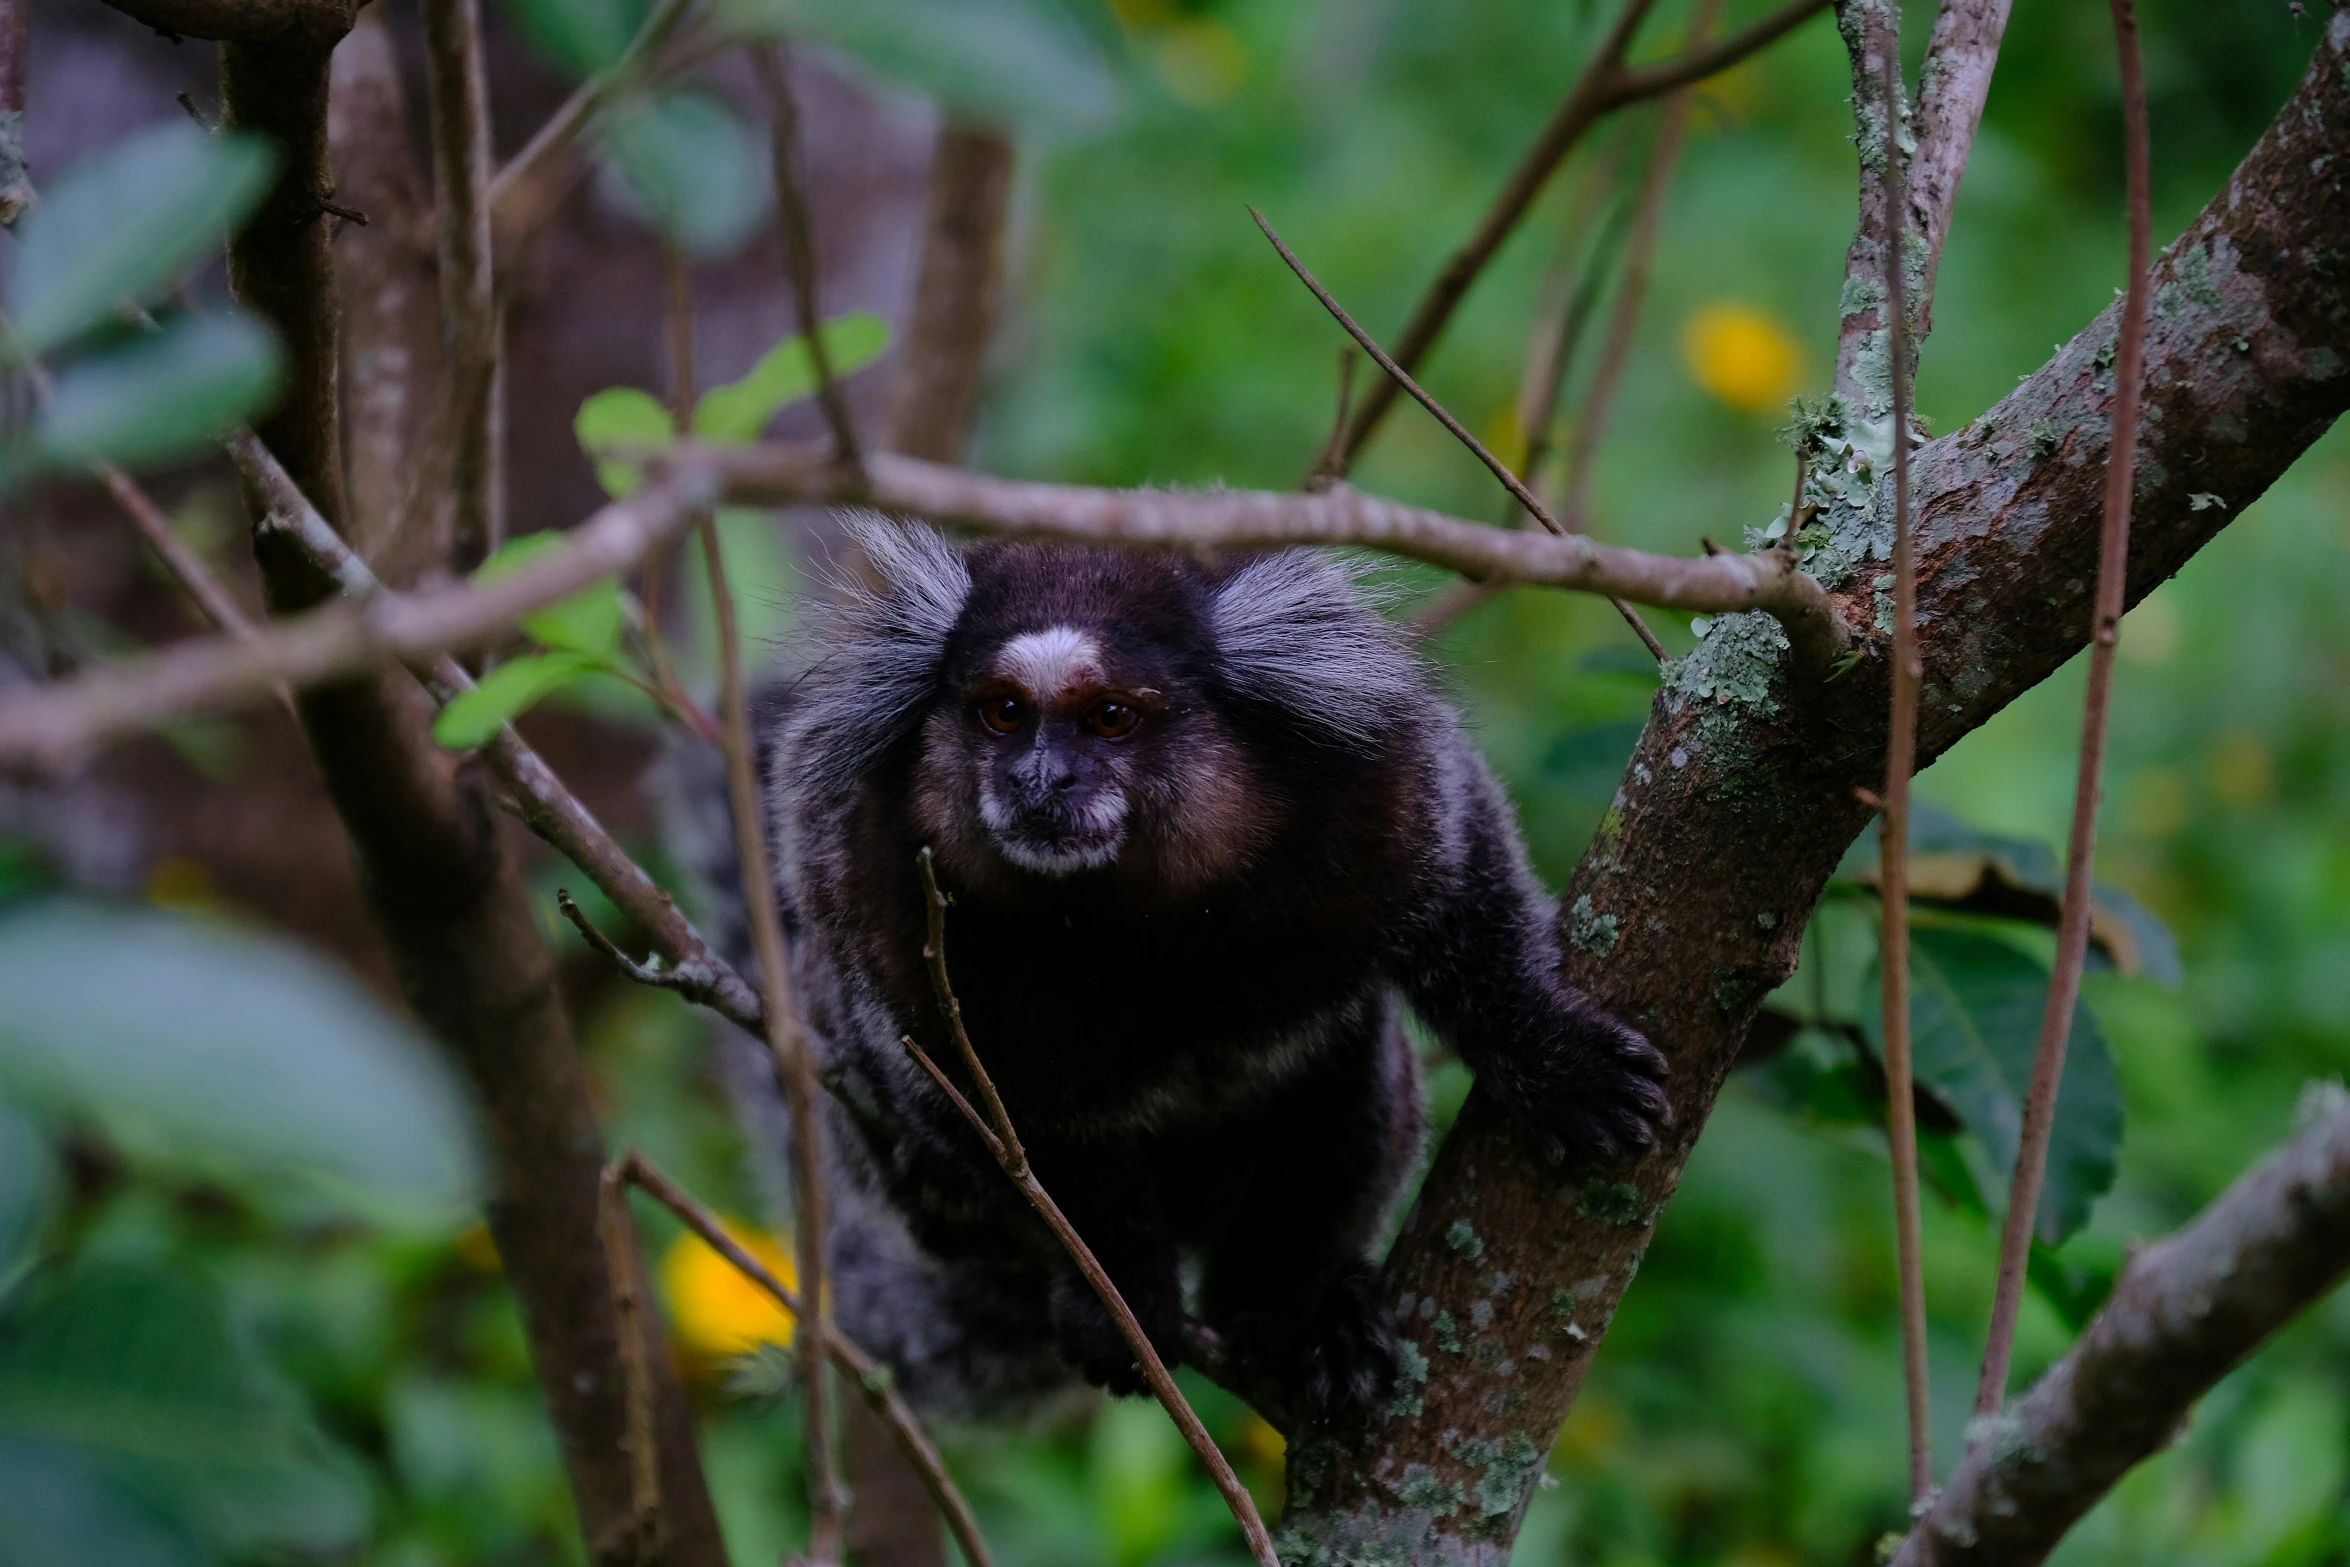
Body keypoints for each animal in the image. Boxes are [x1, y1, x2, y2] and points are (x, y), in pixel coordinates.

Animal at [752, 516, 1673, 1418]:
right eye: (1004, 713)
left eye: (1111, 716)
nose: (1042, 780)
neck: (1122, 910)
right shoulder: (868, 883)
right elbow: (988, 1118)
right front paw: (1120, 1292)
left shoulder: (1370, 776)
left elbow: (1457, 873)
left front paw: (1549, 1055)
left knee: (1347, 1082)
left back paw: (1297, 1313)